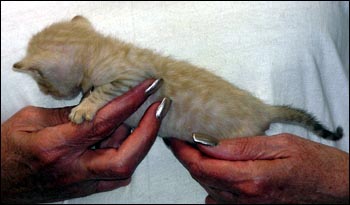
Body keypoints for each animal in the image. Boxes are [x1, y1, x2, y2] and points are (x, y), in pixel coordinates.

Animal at [13, 15, 342, 143]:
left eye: (41, 82)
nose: (48, 94)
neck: (98, 50)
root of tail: (264, 108)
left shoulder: (135, 76)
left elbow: (103, 90)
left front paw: (83, 108)